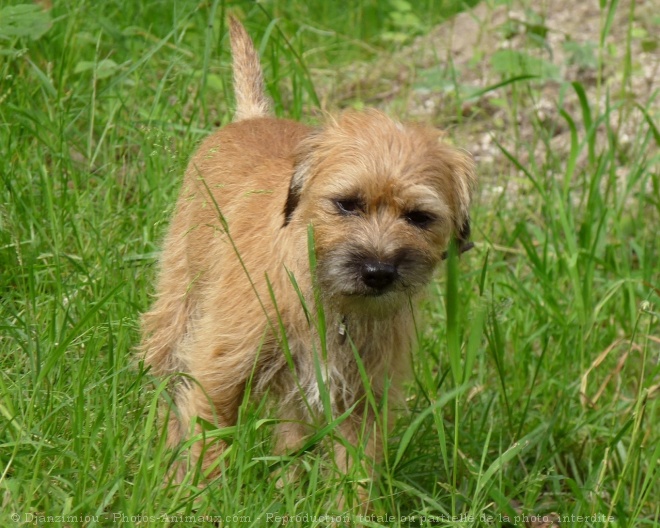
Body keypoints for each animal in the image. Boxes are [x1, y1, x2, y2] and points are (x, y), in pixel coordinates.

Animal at [142, 14, 476, 500]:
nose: (379, 272)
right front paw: (204, 501)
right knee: (168, 393)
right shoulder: (218, 370)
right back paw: (165, 471)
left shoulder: (363, 399)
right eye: (347, 204)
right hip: (178, 306)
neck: (332, 306)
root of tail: (252, 117)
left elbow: (355, 470)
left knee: (290, 437)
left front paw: (348, 510)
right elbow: (209, 442)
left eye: (419, 217)